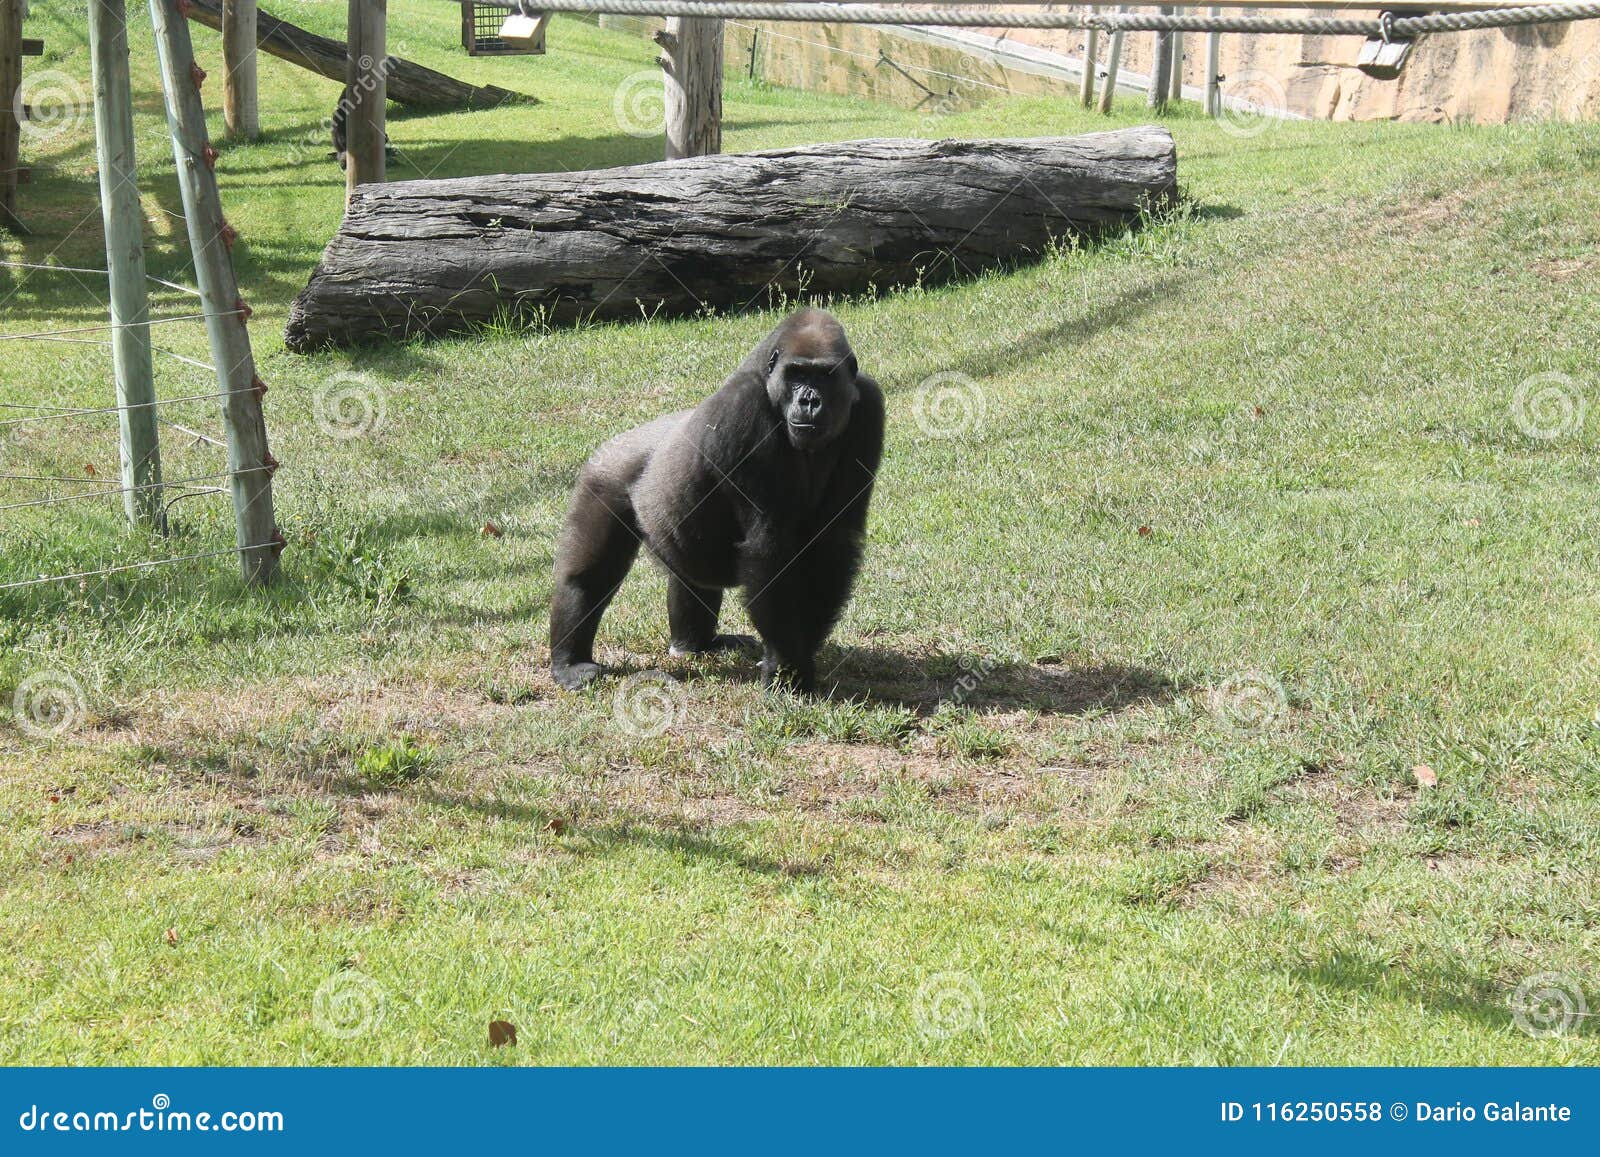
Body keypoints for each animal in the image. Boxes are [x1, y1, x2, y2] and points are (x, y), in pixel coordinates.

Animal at [549, 309, 885, 694]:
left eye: (825, 376)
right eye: (797, 374)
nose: (809, 401)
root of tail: (621, 440)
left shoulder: (868, 408)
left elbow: (832, 541)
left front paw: (799, 656)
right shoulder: (743, 409)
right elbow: (770, 548)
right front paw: (787, 667)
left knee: (691, 576)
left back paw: (697, 643)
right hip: (604, 477)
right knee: (588, 578)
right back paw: (570, 662)